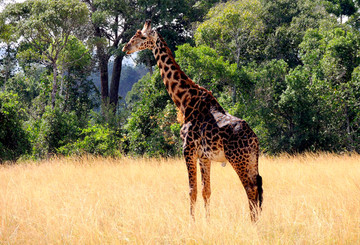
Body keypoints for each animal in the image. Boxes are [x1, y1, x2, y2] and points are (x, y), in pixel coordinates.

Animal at [122, 19, 262, 222]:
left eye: (140, 37)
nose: (125, 47)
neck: (185, 100)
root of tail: (254, 138)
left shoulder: (188, 150)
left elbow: (192, 190)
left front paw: (192, 221)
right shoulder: (204, 156)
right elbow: (206, 190)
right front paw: (207, 220)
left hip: (238, 159)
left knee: (250, 188)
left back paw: (252, 222)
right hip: (251, 159)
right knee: (257, 186)